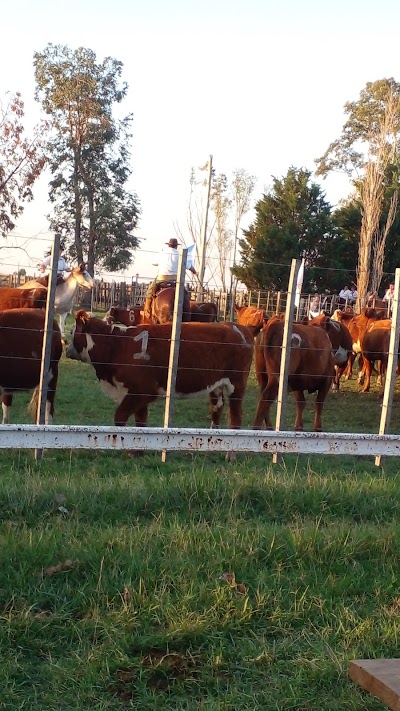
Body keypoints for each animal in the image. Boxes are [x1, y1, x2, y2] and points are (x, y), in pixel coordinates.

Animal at [65, 310, 253, 432]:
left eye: (72, 331)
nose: (66, 348)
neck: (117, 344)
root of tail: (238, 327)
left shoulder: (142, 391)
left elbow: (120, 417)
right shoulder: (137, 396)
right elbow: (141, 422)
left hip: (237, 385)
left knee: (236, 416)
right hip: (216, 386)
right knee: (217, 409)